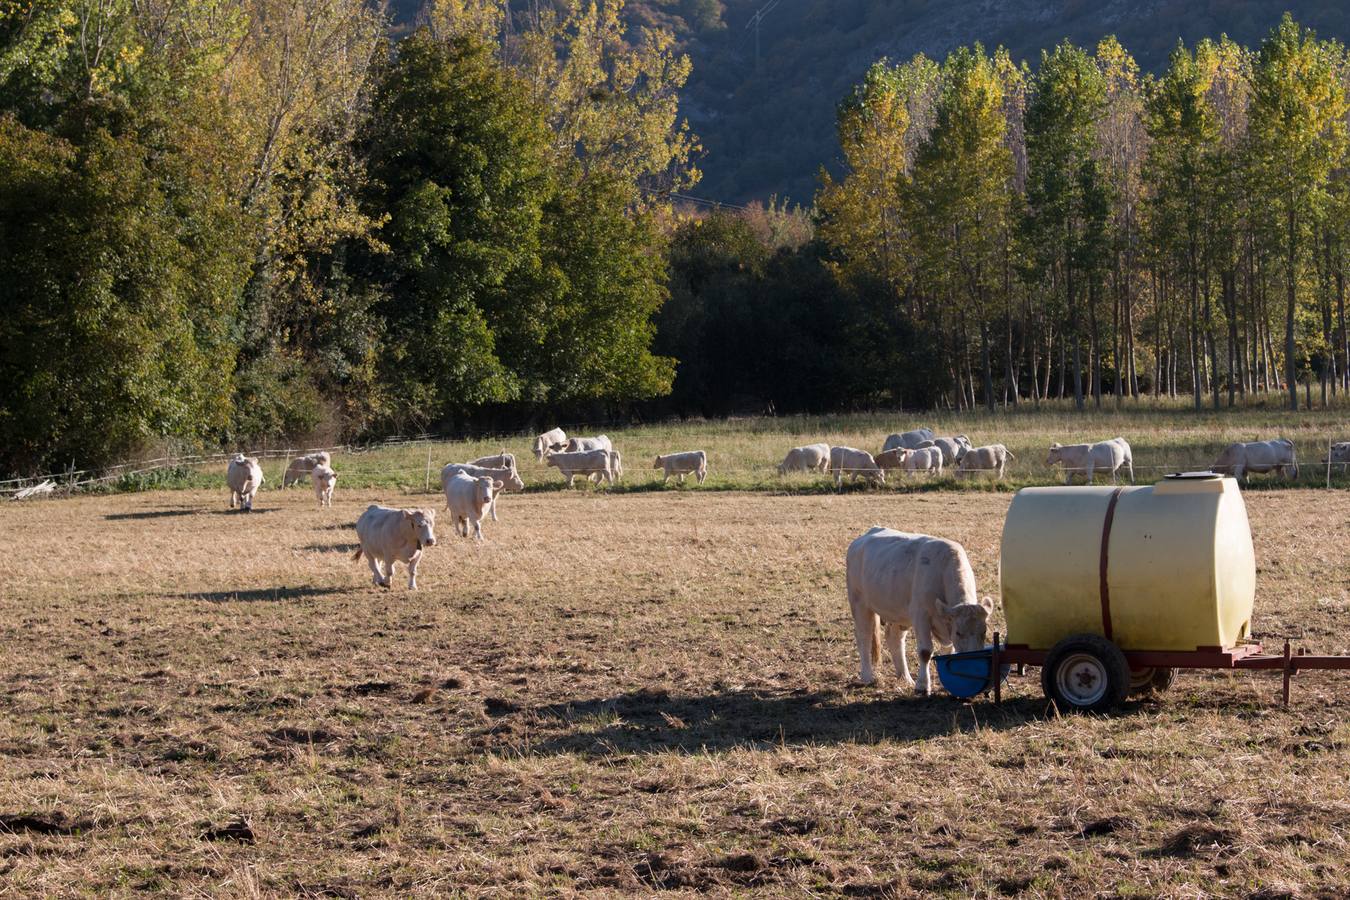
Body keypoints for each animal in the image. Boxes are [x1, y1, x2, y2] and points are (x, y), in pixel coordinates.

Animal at [847, 528, 999, 696]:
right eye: (959, 633)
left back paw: (905, 677)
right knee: (864, 637)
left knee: (895, 638)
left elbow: (948, 650)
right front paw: (922, 686)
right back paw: (867, 676)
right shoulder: (921, 615)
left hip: (899, 614)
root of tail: (864, 536)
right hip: (859, 603)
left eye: (984, 632)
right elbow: (925, 651)